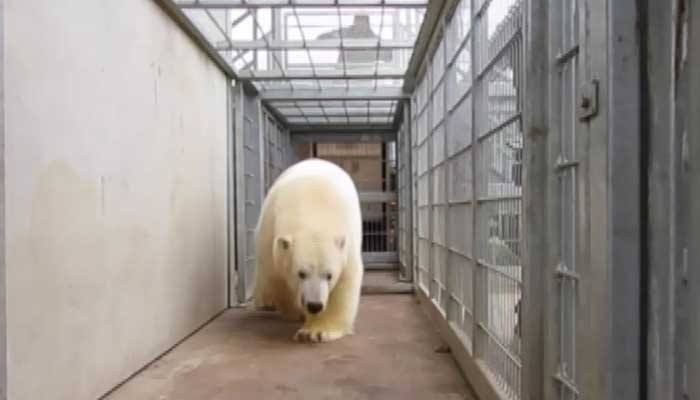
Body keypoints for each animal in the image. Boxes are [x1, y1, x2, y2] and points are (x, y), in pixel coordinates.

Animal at [254, 158, 366, 342]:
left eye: (329, 275)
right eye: (301, 273)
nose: (315, 305)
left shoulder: (347, 242)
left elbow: (346, 280)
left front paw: (317, 331)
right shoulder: (270, 234)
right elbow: (277, 277)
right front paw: (299, 314)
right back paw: (265, 303)